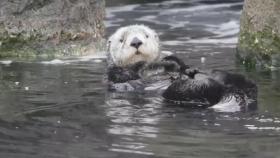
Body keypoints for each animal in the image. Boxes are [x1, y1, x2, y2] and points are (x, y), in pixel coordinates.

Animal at [107, 24, 258, 111]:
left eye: (146, 35)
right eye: (121, 40)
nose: (136, 42)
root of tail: (231, 91)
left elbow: (179, 63)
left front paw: (172, 62)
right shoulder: (117, 74)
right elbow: (128, 73)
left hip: (239, 80)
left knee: (248, 84)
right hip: (179, 92)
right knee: (207, 87)